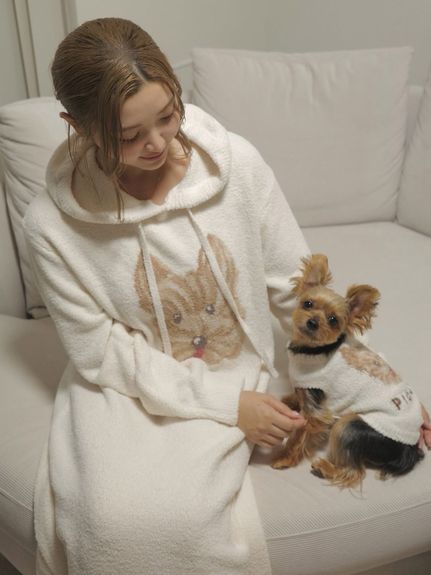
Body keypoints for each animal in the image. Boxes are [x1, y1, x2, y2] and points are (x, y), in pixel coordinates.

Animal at [271, 254, 424, 488]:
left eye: (333, 320)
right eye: (308, 303)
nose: (313, 322)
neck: (313, 349)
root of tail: (409, 449)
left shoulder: (316, 412)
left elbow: (300, 435)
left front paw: (284, 458)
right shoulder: (308, 391)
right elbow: (299, 396)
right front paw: (292, 400)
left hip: (352, 426)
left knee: (354, 470)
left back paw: (326, 468)